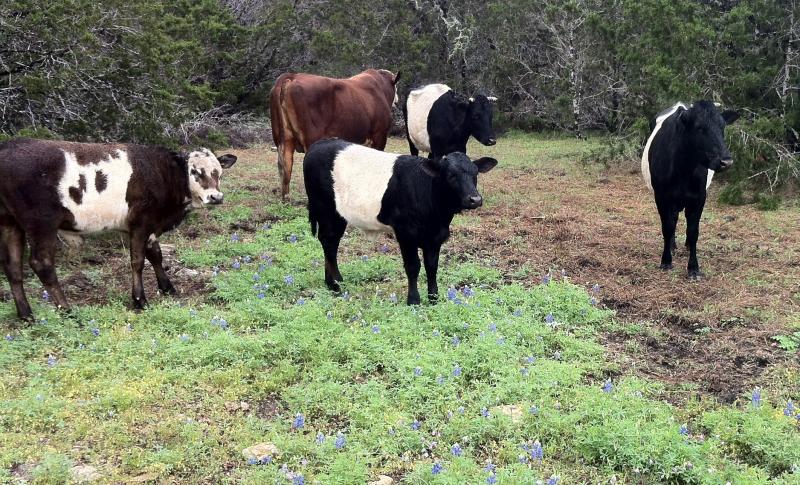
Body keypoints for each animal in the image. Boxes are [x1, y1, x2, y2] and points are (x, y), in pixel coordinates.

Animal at [0, 138, 237, 320]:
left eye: (218, 172)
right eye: (195, 171)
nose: (216, 197)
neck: (163, 174)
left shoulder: (148, 227)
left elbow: (156, 255)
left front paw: (167, 287)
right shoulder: (141, 223)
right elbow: (138, 261)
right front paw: (140, 300)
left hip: (9, 223)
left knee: (13, 266)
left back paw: (26, 315)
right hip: (41, 224)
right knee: (42, 264)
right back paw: (67, 311)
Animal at [269, 69, 401, 198]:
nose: (397, 101)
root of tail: (293, 76)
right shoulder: (379, 136)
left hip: (283, 139)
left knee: (285, 166)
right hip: (311, 140)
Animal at [303, 139, 497, 305]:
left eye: (475, 173)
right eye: (451, 175)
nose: (475, 199)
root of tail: (318, 144)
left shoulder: (435, 236)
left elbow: (432, 265)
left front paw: (433, 298)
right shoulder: (406, 232)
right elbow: (413, 266)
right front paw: (414, 300)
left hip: (337, 215)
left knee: (331, 242)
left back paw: (332, 282)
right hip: (326, 210)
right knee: (329, 243)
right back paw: (336, 285)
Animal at [641, 101, 739, 280]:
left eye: (723, 126)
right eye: (699, 128)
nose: (726, 161)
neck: (683, 169)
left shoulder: (699, 197)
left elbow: (693, 232)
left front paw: (693, 268)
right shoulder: (661, 196)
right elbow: (667, 227)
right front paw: (666, 260)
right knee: (673, 220)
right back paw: (672, 246)